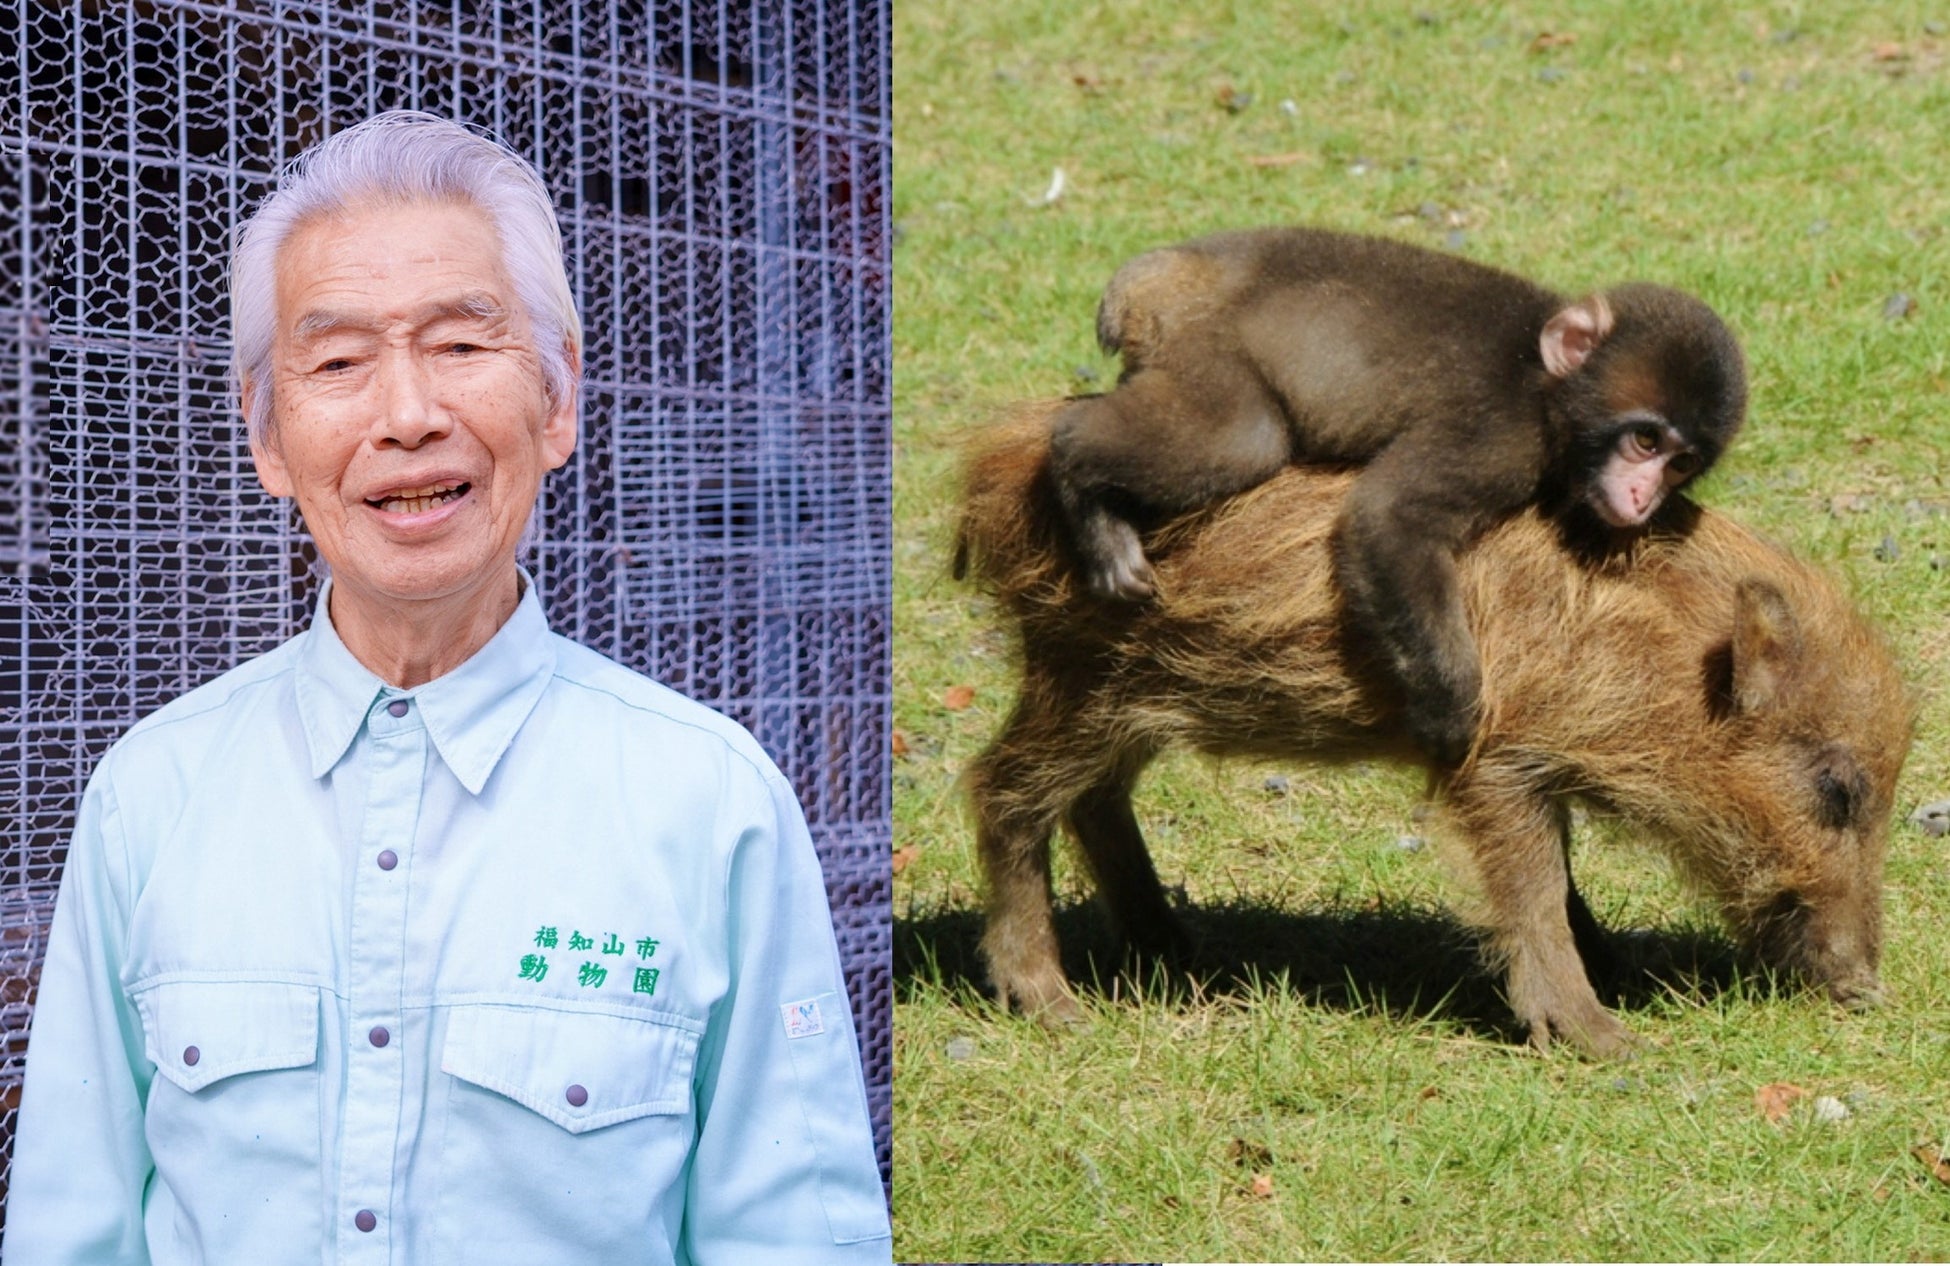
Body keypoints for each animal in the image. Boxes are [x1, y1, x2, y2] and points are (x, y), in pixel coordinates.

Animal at [1047, 227, 1748, 764]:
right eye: (1646, 441)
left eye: (1680, 463)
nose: (1642, 497)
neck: (1545, 384)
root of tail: (1161, 272)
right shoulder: (1499, 433)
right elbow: (1390, 516)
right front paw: (1452, 704)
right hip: (1199, 344)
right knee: (1241, 438)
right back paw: (1080, 482)